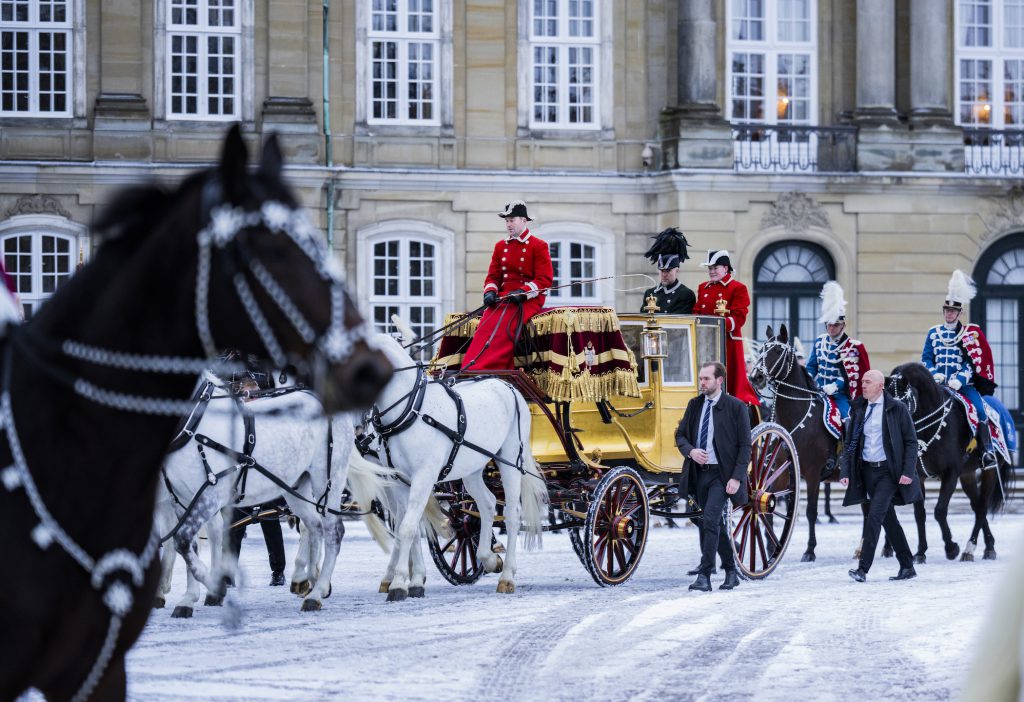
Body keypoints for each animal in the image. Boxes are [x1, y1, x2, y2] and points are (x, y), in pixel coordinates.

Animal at [159, 378, 364, 609]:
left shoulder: (208, 497)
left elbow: (183, 541)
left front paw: (214, 588)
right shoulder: (181, 501)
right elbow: (190, 545)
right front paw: (188, 599)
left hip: (329, 480)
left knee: (333, 531)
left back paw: (316, 592)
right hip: (295, 486)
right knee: (314, 525)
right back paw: (312, 578)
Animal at [366, 333, 548, 601]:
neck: (410, 410)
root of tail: (508, 387)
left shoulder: (423, 476)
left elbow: (408, 527)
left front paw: (399, 584)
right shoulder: (400, 481)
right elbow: (407, 527)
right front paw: (410, 581)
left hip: (512, 460)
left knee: (512, 515)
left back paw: (507, 577)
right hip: (472, 469)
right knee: (488, 504)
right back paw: (489, 558)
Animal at [884, 366, 1011, 564]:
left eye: (901, 402)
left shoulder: (950, 473)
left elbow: (939, 510)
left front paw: (951, 548)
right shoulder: (918, 476)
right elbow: (919, 514)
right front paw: (920, 552)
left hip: (989, 472)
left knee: (982, 507)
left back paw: (970, 548)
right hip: (967, 475)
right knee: (977, 506)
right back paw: (988, 545)